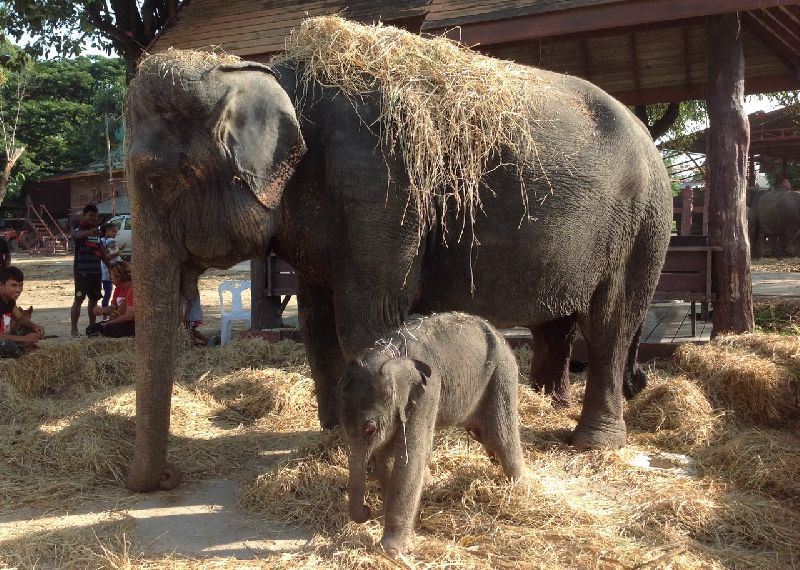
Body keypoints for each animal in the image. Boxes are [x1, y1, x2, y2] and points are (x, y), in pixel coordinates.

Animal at [125, 25, 672, 492]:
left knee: (609, 322)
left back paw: (592, 443)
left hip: (644, 225)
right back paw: (546, 405)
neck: (273, 75)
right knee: (555, 324)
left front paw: (378, 452)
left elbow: (366, 323)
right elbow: (316, 322)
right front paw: (331, 440)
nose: (171, 476)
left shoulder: (381, 188)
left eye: (157, 180)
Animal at [340, 310, 520, 556]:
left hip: (502, 372)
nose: (367, 510)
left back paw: (519, 485)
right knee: (484, 435)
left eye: (370, 429)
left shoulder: (427, 394)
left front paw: (391, 550)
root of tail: (497, 331)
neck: (390, 354)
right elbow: (387, 457)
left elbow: (410, 457)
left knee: (499, 435)